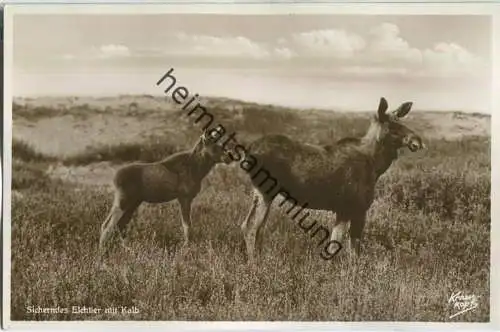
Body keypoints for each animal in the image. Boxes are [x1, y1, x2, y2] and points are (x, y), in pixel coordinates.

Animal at [98, 127, 233, 264]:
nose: (229, 156)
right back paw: (103, 256)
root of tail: (115, 178)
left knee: (118, 227)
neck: (197, 169)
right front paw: (187, 249)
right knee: (106, 226)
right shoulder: (184, 198)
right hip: (123, 201)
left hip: (133, 204)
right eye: (214, 146)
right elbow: (187, 227)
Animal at [240, 97, 424, 264]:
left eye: (401, 122)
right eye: (392, 126)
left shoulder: (343, 210)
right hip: (265, 191)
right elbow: (350, 249)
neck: (375, 166)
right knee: (251, 227)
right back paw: (255, 265)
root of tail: (248, 150)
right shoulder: (353, 208)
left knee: (252, 226)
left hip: (262, 192)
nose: (418, 140)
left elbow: (334, 244)